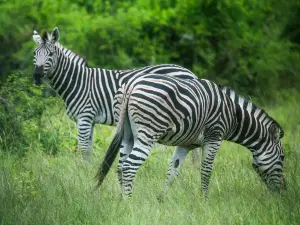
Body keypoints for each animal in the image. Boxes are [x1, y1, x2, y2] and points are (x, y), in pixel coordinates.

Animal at [32, 27, 199, 163]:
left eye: (51, 54)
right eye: (34, 54)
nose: (37, 75)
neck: (78, 81)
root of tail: (189, 72)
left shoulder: (84, 117)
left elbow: (82, 149)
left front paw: (80, 173)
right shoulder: (90, 120)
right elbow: (88, 150)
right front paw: (86, 172)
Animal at [96, 73, 286, 197]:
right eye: (283, 157)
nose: (284, 192)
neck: (234, 116)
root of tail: (132, 84)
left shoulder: (186, 144)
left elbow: (173, 171)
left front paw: (162, 199)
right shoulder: (214, 137)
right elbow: (206, 170)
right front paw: (204, 199)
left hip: (128, 135)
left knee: (121, 166)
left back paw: (122, 199)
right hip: (147, 134)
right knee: (129, 167)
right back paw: (129, 201)